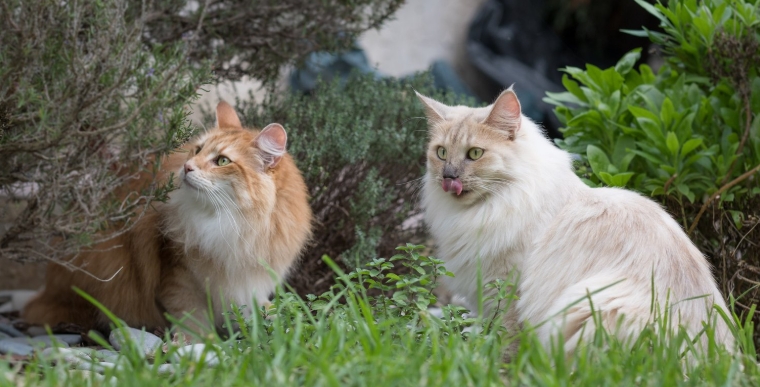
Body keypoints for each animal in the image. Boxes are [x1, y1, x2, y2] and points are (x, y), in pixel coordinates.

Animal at [23, 101, 312, 334]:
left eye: (222, 161)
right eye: (197, 150)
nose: (187, 167)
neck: (234, 225)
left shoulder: (250, 280)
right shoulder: (178, 277)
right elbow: (192, 319)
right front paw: (200, 344)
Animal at [418, 88, 732, 354]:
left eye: (475, 153)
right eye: (441, 153)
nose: (449, 176)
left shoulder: (505, 289)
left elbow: (507, 343)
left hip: (588, 307)